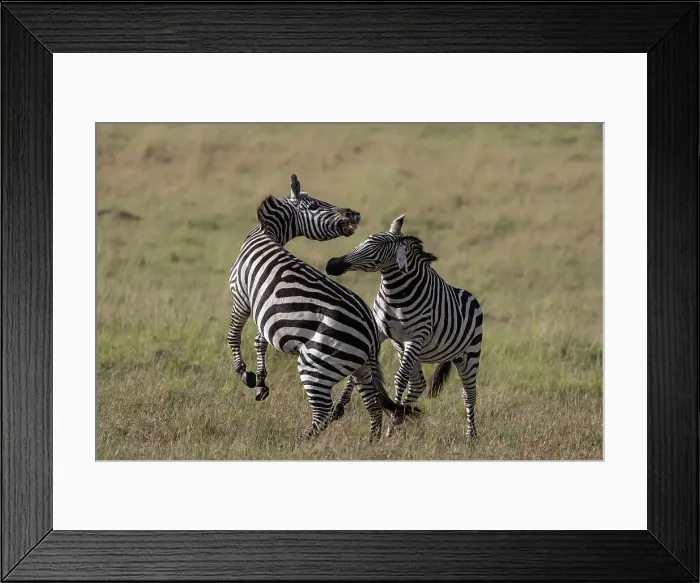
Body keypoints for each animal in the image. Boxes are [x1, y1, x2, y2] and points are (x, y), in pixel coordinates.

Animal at [227, 175, 421, 441]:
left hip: (315, 365)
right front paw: (260, 383)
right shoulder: (266, 312)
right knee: (373, 406)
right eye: (315, 205)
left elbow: (233, 335)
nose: (354, 213)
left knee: (322, 411)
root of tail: (371, 333)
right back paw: (371, 442)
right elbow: (259, 341)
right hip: (360, 367)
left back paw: (299, 443)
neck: (265, 234)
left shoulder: (241, 295)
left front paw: (244, 373)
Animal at [325, 214, 483, 439]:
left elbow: (399, 379)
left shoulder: (415, 337)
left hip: (468, 355)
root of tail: (471, 297)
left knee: (468, 394)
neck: (396, 293)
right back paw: (402, 417)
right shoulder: (379, 331)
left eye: (376, 250)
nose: (332, 264)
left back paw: (470, 435)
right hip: (409, 351)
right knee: (418, 384)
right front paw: (337, 410)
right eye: (364, 240)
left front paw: (393, 420)